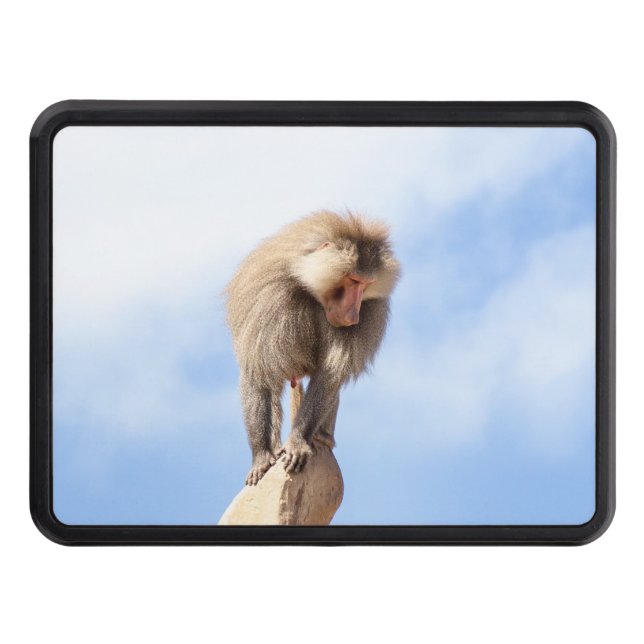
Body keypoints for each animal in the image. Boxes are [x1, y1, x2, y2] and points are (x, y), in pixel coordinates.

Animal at [225, 210, 400, 485]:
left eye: (365, 284)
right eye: (353, 280)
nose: (353, 316)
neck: (308, 286)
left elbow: (329, 376)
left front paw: (298, 443)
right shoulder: (269, 300)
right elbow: (258, 371)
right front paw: (261, 457)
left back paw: (321, 438)